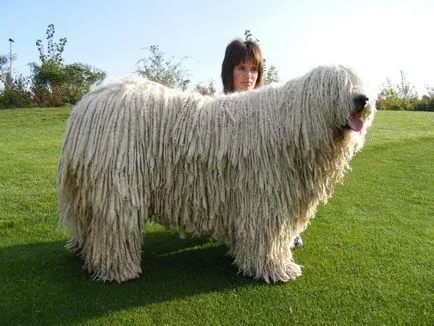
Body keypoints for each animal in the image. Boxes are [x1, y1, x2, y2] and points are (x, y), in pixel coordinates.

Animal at [57, 65, 374, 282]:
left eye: (359, 83)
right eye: (337, 86)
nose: (363, 99)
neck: (293, 124)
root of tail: (86, 105)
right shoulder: (264, 197)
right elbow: (266, 237)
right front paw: (275, 269)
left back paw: (84, 252)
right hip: (118, 184)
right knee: (114, 228)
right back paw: (117, 270)